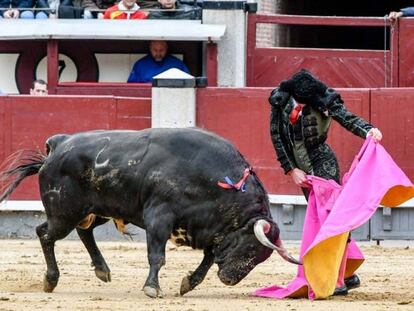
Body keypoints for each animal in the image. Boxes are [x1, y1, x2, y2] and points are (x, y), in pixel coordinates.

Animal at [0, 129, 298, 298]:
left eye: (260, 258)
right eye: (250, 248)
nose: (229, 280)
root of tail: (58, 144)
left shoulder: (209, 229)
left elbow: (208, 259)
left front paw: (188, 283)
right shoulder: (159, 218)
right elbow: (158, 256)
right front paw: (152, 288)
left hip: (96, 210)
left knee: (84, 232)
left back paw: (102, 270)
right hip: (64, 213)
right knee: (45, 234)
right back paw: (51, 280)